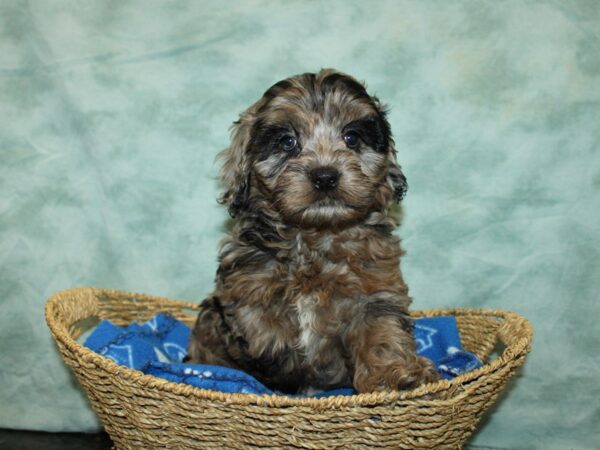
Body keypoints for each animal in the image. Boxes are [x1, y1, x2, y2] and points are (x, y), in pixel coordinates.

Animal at [188, 67, 440, 394]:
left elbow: (382, 332)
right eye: (287, 142)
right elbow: (264, 331)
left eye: (351, 137)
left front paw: (394, 375)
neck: (315, 236)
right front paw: (283, 363)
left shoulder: (376, 289)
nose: (324, 176)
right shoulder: (244, 289)